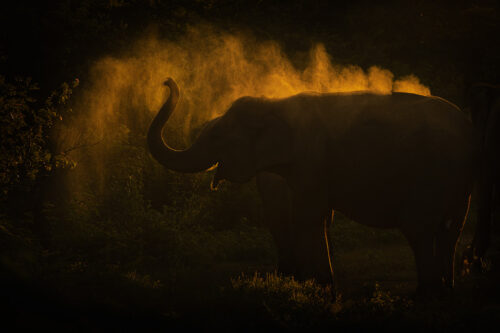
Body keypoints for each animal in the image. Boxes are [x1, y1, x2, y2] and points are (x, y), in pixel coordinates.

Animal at [148, 78, 480, 294]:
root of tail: (467, 127)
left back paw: (426, 292)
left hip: (431, 173)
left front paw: (321, 285)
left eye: (217, 136)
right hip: (460, 179)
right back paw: (446, 287)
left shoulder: (311, 157)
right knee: (452, 228)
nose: (166, 81)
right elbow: (316, 216)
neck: (275, 105)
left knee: (419, 228)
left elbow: (309, 216)